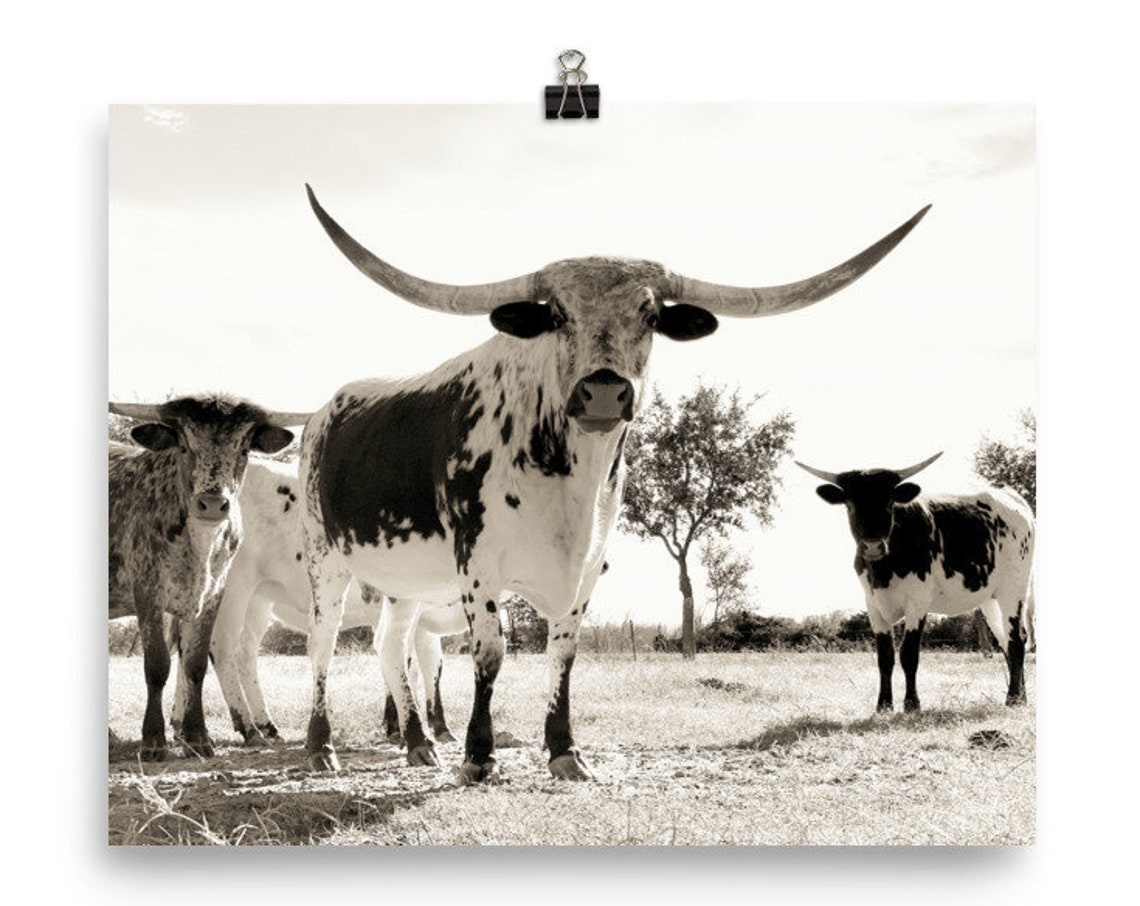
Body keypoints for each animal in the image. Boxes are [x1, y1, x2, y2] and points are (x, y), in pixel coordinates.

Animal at [108, 395, 308, 760]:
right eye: (184, 446)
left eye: (243, 449)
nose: (213, 504)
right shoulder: (147, 591)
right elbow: (157, 664)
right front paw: (153, 740)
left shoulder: (213, 594)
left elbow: (195, 663)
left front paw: (197, 736)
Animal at [185, 457, 465, 745]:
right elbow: (407, 660)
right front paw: (401, 727)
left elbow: (430, 666)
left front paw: (437, 727)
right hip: (234, 587)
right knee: (221, 649)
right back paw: (247, 728)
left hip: (259, 599)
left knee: (244, 652)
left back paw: (265, 725)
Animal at [298, 185, 930, 781]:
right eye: (556, 314)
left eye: (650, 316)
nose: (603, 390)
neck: (567, 475)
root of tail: (323, 413)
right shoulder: (478, 564)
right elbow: (490, 654)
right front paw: (479, 757)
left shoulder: (588, 567)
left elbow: (564, 656)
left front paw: (564, 752)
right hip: (326, 561)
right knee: (322, 644)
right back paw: (321, 746)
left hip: (405, 581)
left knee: (391, 648)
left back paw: (417, 744)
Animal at [796, 453, 1035, 712]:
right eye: (850, 505)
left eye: (890, 503)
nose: (872, 546)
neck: (884, 570)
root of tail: (1014, 500)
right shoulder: (872, 604)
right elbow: (885, 656)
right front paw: (884, 704)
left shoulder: (918, 601)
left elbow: (908, 654)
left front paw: (912, 703)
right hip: (989, 598)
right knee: (1006, 639)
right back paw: (1022, 696)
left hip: (1013, 589)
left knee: (1016, 639)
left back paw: (1013, 698)